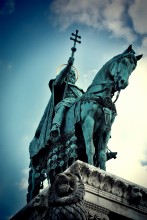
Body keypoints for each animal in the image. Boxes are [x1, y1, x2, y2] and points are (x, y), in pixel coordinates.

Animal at [26, 45, 142, 203]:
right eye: (123, 61)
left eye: (133, 67)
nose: (123, 83)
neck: (100, 96)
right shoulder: (88, 122)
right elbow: (91, 148)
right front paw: (70, 62)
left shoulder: (106, 129)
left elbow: (101, 154)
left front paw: (102, 172)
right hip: (36, 168)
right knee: (33, 188)